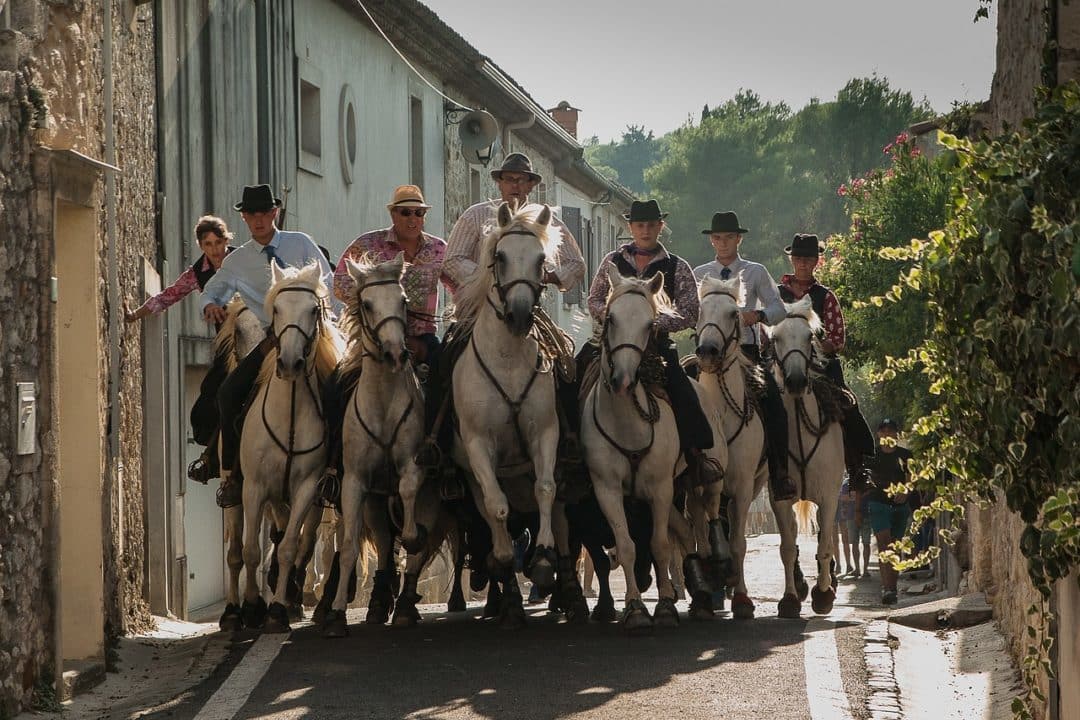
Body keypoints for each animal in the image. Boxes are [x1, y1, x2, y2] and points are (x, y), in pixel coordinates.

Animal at [238, 263, 343, 630]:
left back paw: (298, 597)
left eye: (313, 310)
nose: (290, 363)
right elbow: (251, 550)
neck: (289, 418)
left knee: (302, 543)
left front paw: (278, 609)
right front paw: (251, 607)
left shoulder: (306, 489)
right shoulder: (254, 487)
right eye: (277, 310)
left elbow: (289, 548)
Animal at [583, 267, 682, 634]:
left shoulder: (662, 488)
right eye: (611, 318)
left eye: (649, 324)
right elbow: (625, 546)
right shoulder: (606, 488)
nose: (623, 380)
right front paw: (636, 608)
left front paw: (666, 605)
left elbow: (660, 544)